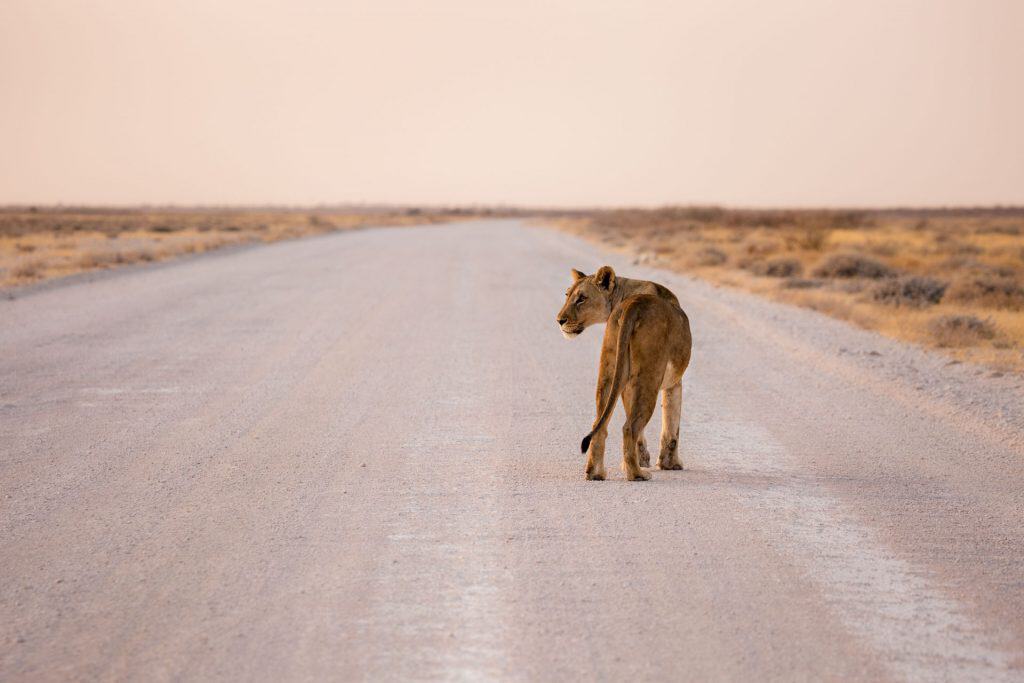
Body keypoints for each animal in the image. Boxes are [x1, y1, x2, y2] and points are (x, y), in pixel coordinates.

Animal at [556, 266, 689, 473]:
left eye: (581, 298)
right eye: (567, 295)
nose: (559, 320)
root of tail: (633, 305)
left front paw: (640, 460)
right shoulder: (674, 380)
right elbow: (672, 420)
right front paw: (670, 464)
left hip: (609, 368)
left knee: (599, 424)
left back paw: (596, 473)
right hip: (649, 378)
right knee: (630, 427)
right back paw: (637, 474)